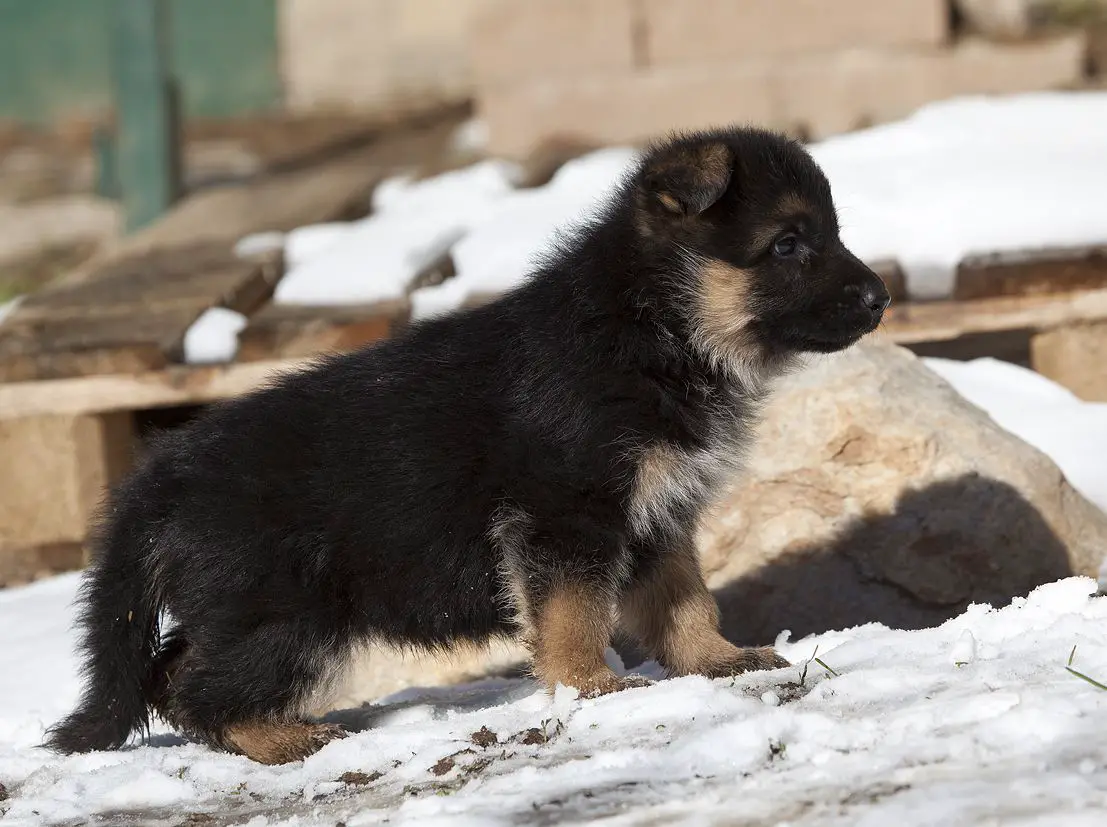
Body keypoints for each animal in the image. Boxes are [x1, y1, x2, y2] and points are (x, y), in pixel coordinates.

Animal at [47, 126, 890, 766]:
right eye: (788, 244)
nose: (881, 296)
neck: (649, 326)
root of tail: (159, 478)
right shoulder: (565, 515)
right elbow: (575, 611)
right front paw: (591, 685)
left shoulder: (657, 513)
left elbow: (683, 595)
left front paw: (714, 659)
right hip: (285, 613)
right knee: (198, 684)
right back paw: (284, 739)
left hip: (244, 608)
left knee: (170, 671)